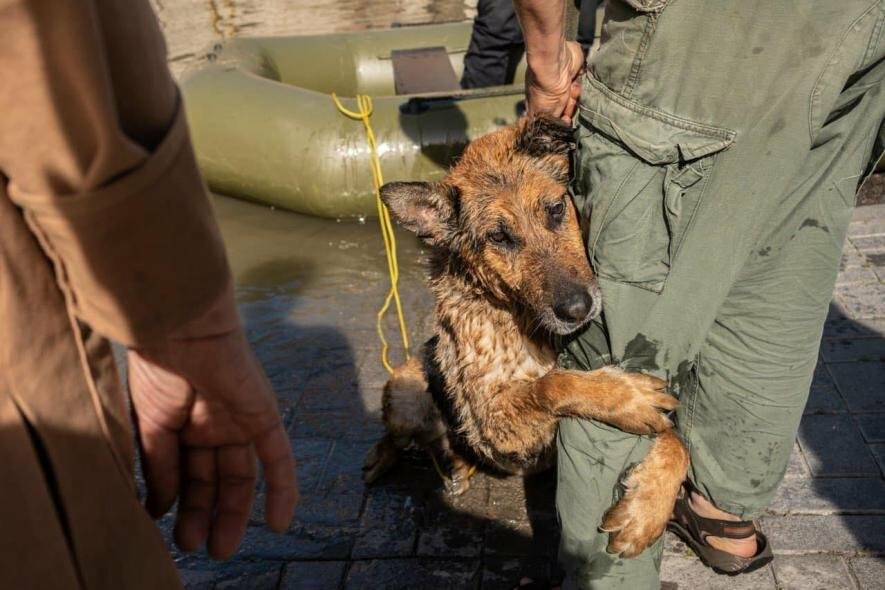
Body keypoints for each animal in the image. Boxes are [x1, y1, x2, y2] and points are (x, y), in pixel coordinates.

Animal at [362, 115, 688, 560]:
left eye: (555, 210)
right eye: (499, 238)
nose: (578, 309)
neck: (520, 318)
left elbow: (678, 442)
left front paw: (647, 510)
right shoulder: (495, 423)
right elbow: (553, 384)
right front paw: (623, 396)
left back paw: (456, 464)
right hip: (405, 391)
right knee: (400, 437)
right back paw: (396, 461)